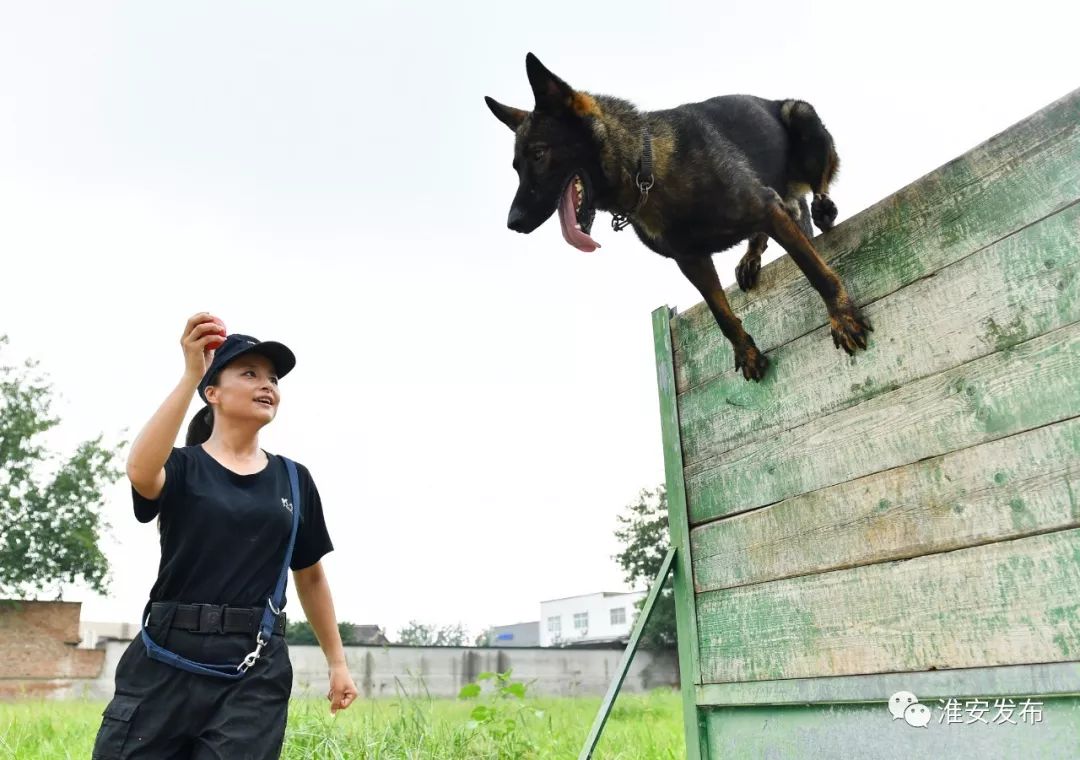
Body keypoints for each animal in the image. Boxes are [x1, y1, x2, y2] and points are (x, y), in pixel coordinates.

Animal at [486, 53, 872, 380]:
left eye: (539, 154)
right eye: (516, 167)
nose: (513, 222)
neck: (646, 171)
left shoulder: (765, 208)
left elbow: (815, 272)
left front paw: (842, 318)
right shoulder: (692, 261)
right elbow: (721, 315)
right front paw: (746, 353)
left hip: (800, 116)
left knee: (815, 191)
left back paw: (823, 208)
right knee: (785, 214)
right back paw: (751, 256)